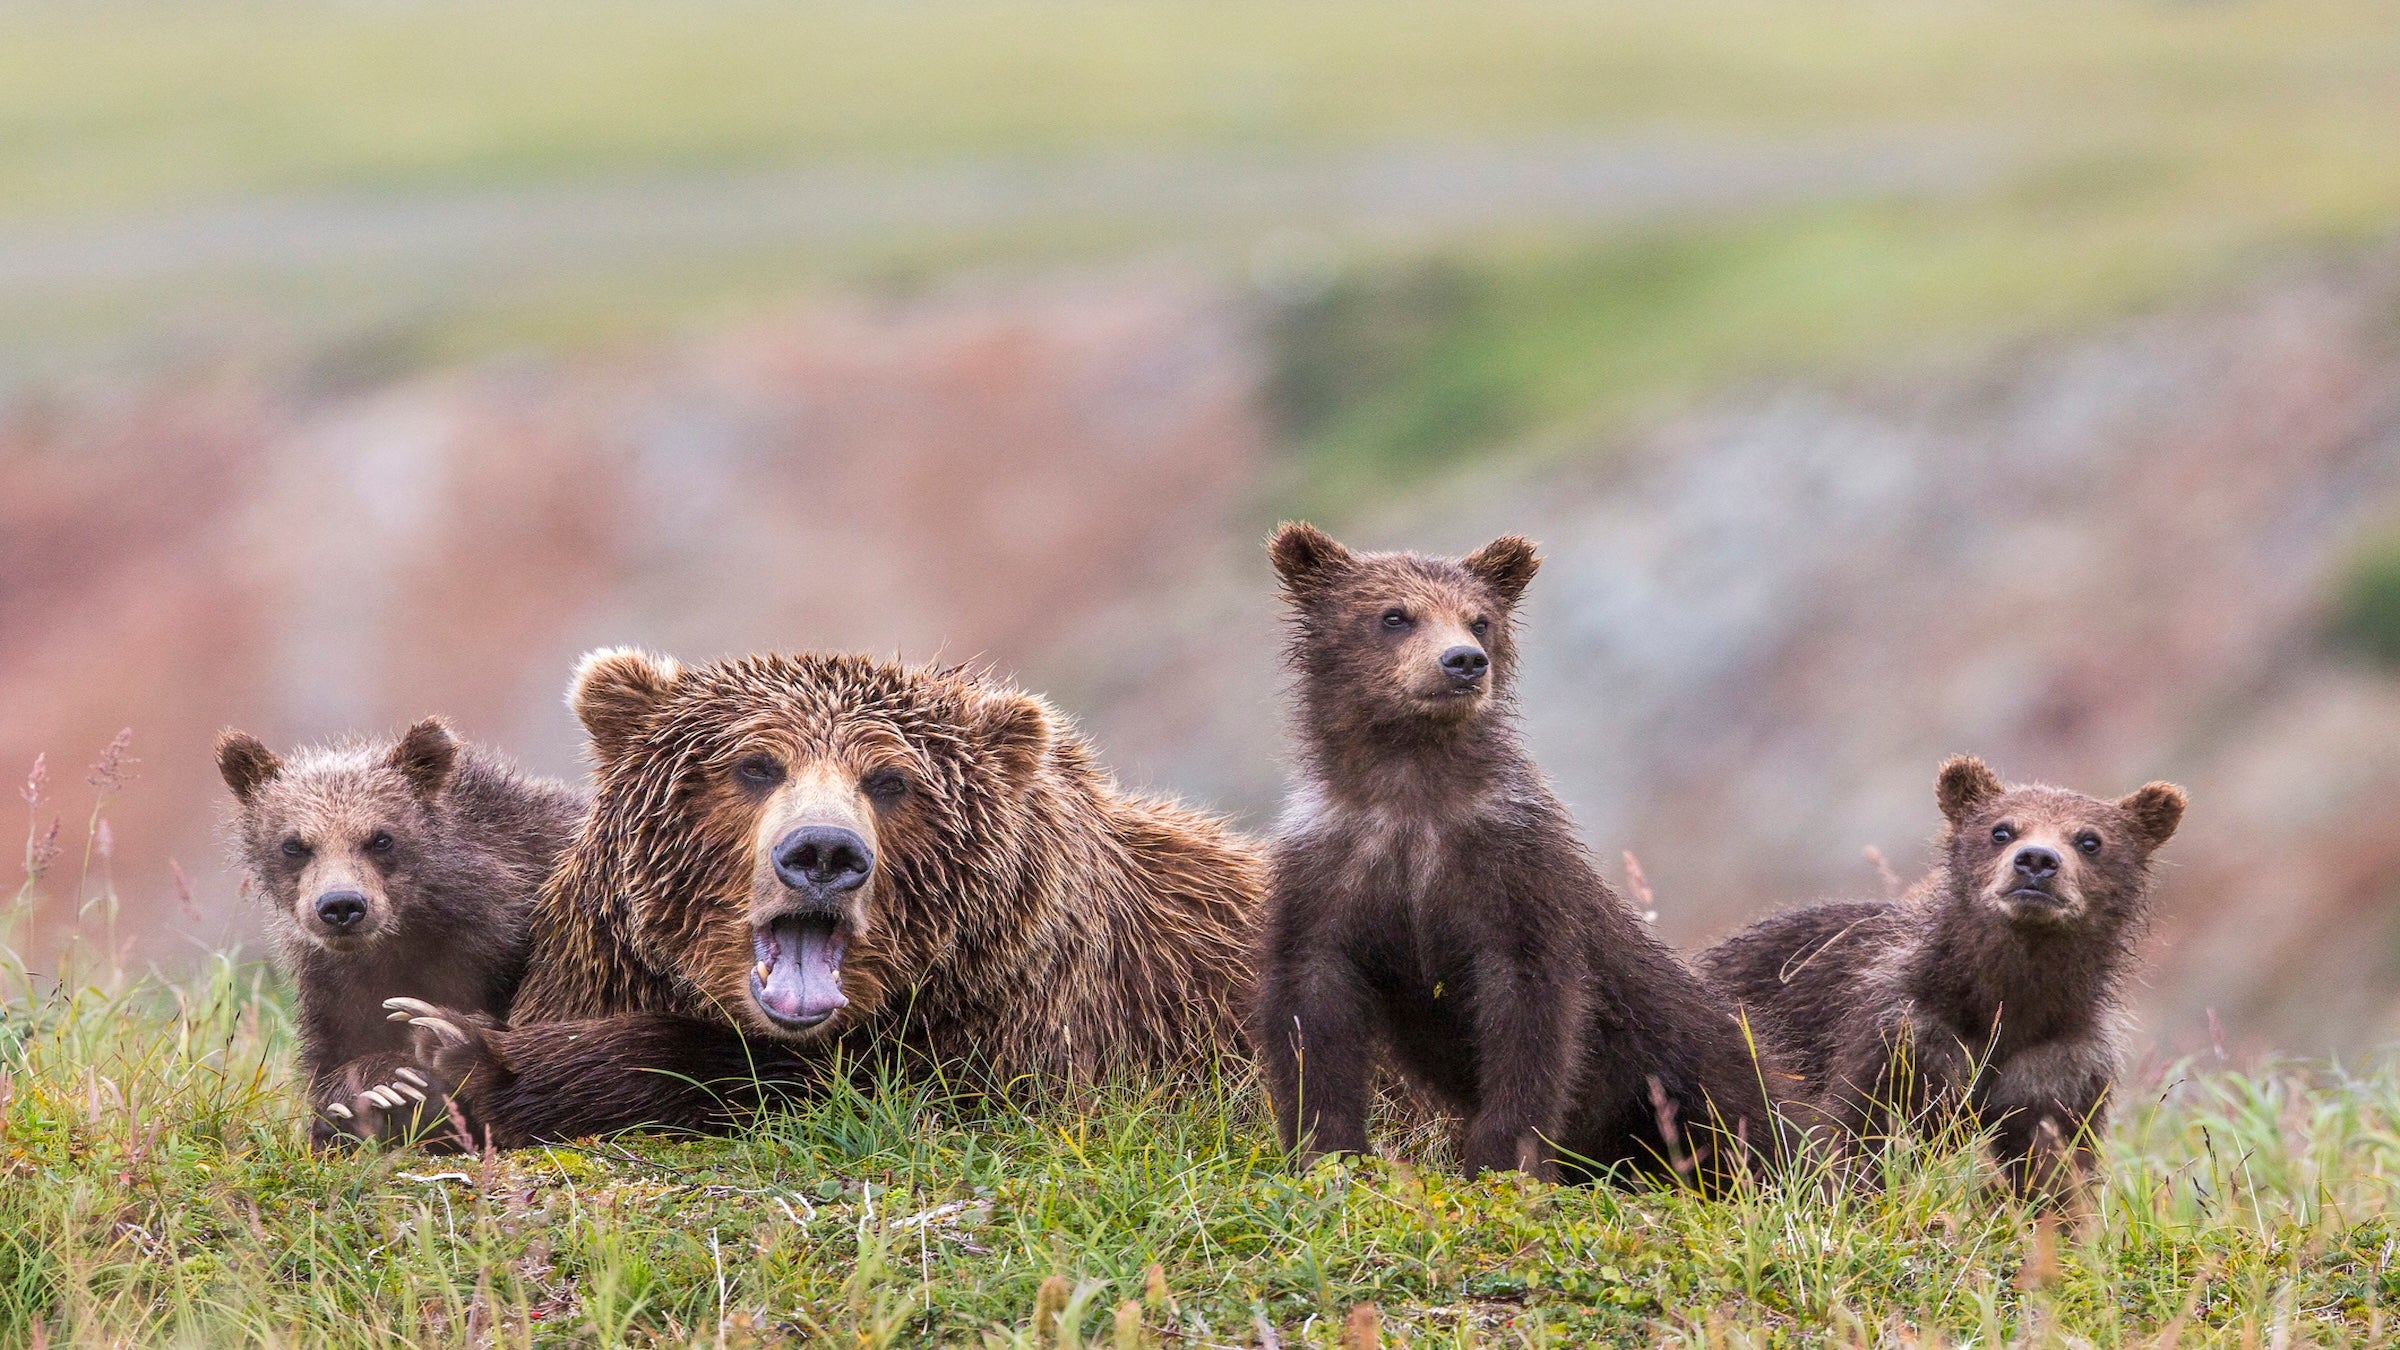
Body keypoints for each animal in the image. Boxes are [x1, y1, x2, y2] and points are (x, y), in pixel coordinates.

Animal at [215, 718, 585, 1147]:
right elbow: (334, 1058)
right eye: (294, 845)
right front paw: (385, 1088)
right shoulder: (334, 984)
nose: (341, 905)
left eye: (381, 838)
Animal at [348, 648, 1264, 1149]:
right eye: (757, 765)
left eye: (890, 781)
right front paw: (397, 1071)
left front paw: (445, 1055)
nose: (823, 852)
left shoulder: (1026, 1020)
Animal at [1251, 522, 1784, 1187]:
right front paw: (1328, 1149)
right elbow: (1313, 1006)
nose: (1463, 661)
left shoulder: (1513, 868)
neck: (1410, 789)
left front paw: (1502, 1156)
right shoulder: (1331, 869)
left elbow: (1528, 1008)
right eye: (1394, 615)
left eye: (1479, 620)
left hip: (1691, 1057)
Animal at [1699, 755, 2186, 1199]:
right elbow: (1865, 1130)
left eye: (2089, 840)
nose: (2036, 861)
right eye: (2001, 830)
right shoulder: (1908, 1033)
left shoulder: (2060, 1062)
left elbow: (2054, 1160)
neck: (2005, 999)